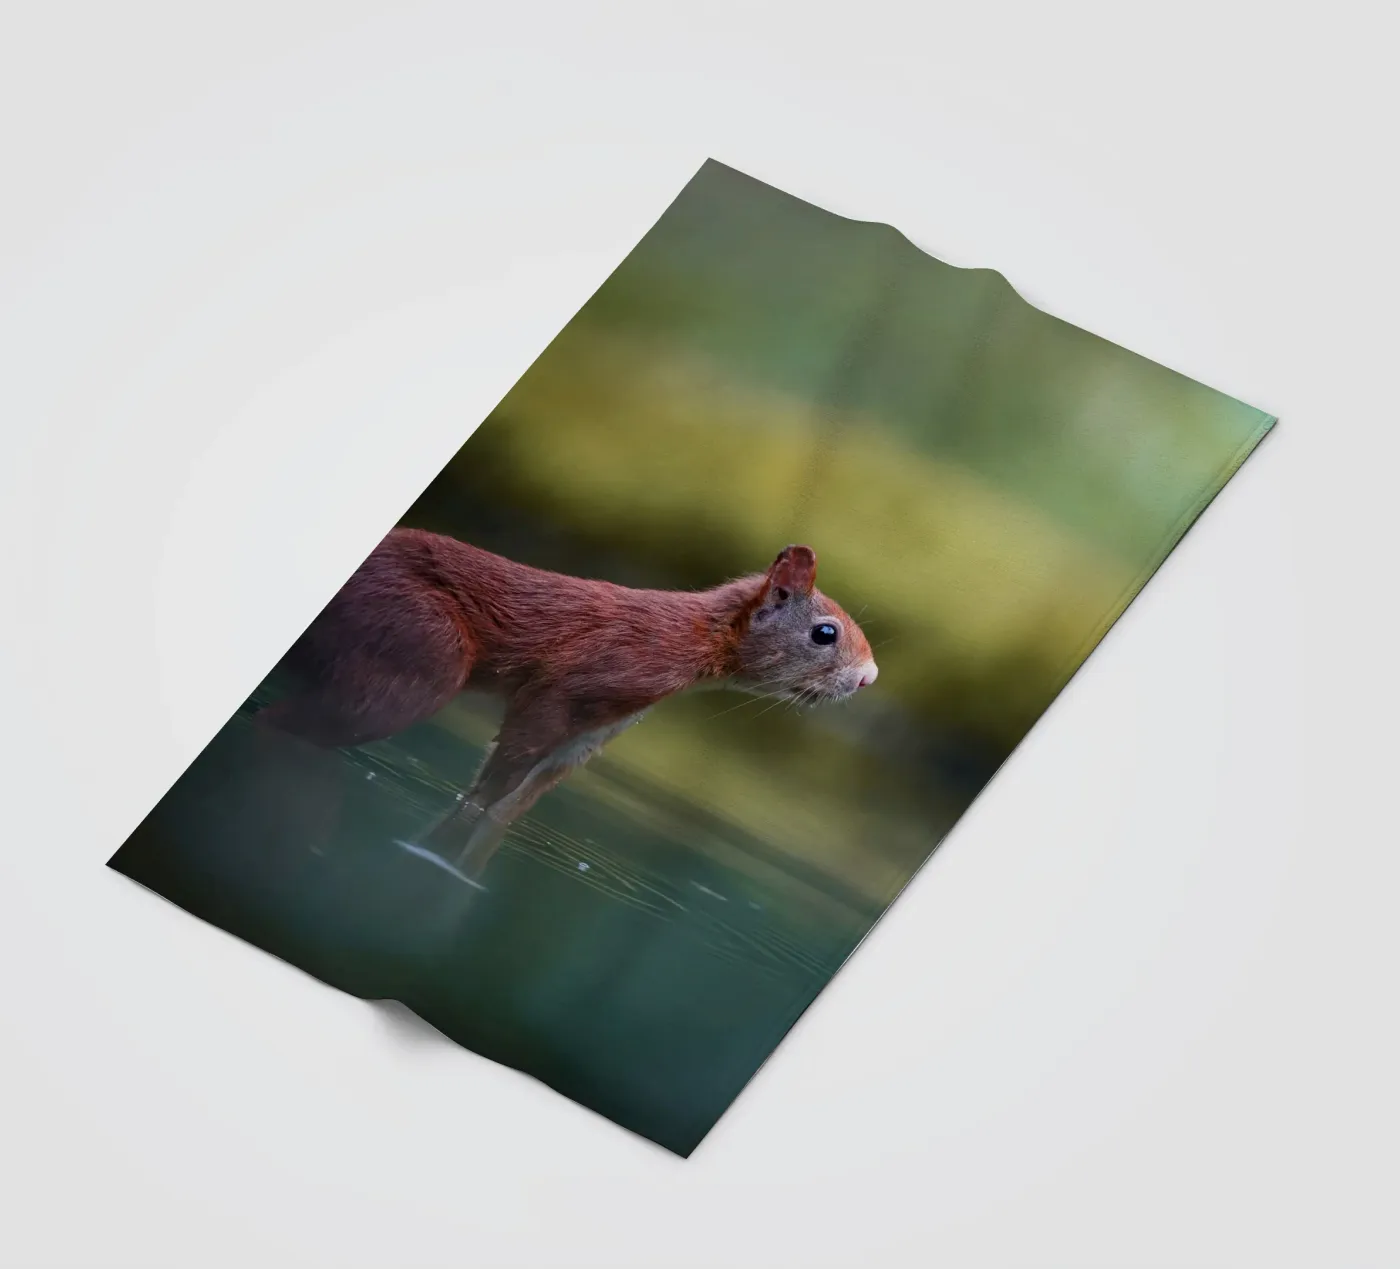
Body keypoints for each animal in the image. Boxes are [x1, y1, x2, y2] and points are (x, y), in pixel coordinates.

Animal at [256, 528, 877, 879]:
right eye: (825, 633)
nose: (869, 677)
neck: (685, 639)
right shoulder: (571, 686)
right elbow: (502, 770)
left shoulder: (592, 734)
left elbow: (510, 803)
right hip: (418, 656)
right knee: (281, 723)